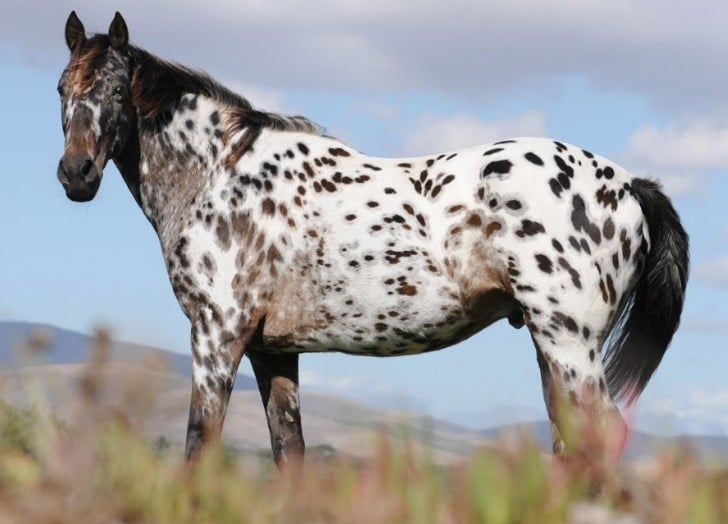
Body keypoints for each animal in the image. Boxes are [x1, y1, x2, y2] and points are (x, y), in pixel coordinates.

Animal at [56, 11, 689, 469]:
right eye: (62, 87)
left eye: (118, 91)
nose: (75, 174)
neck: (219, 172)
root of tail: (630, 185)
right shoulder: (272, 351)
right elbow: (290, 454)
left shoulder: (217, 337)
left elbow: (198, 445)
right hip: (552, 344)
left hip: (569, 343)